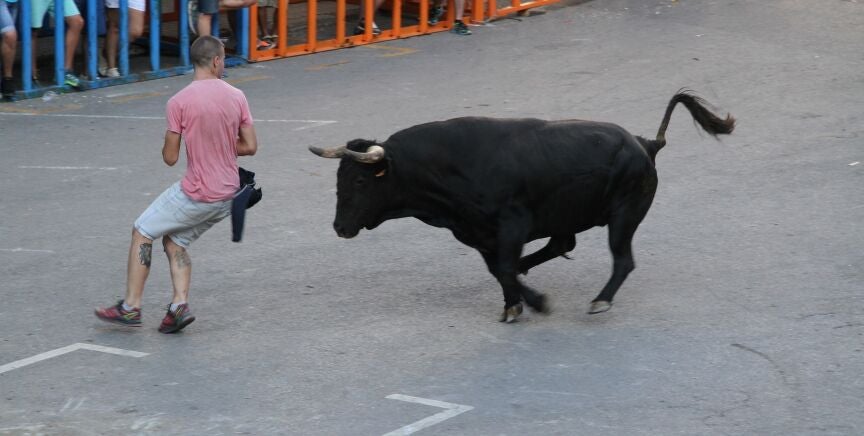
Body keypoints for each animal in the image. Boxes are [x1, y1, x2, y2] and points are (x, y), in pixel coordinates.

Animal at [309, 90, 735, 323]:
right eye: (339, 179)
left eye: (360, 181)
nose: (340, 227)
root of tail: (645, 144)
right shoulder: (479, 233)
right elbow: (500, 269)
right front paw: (515, 304)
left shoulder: (511, 224)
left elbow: (504, 268)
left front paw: (535, 302)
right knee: (561, 245)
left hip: (623, 216)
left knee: (622, 260)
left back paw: (600, 300)